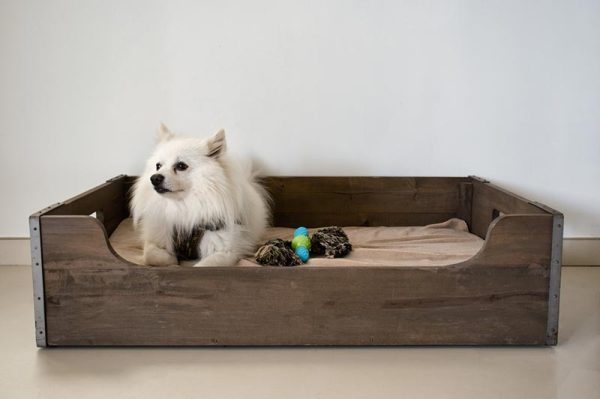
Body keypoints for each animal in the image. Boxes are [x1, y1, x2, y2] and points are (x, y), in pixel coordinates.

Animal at [134, 125, 272, 268]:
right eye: (158, 166)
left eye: (181, 166)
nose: (154, 178)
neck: (183, 207)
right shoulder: (155, 238)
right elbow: (152, 256)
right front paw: (171, 260)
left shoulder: (226, 250)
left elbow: (203, 266)